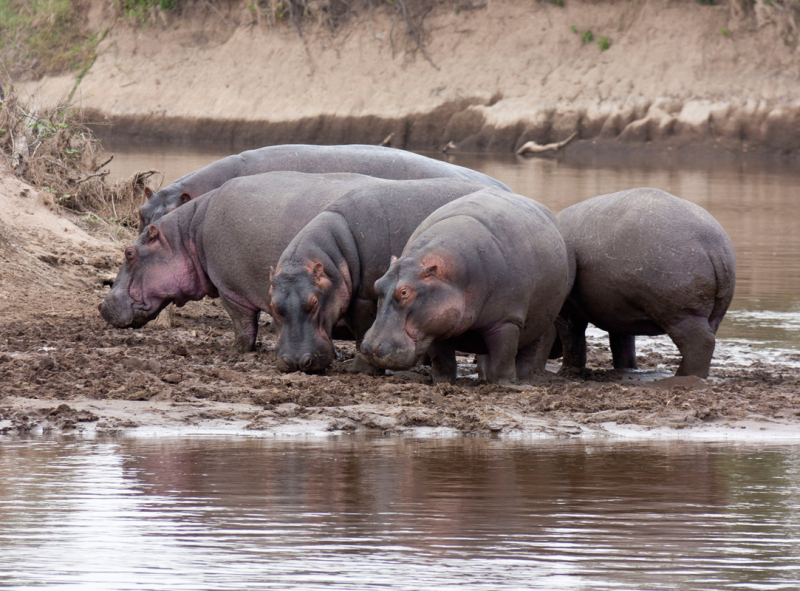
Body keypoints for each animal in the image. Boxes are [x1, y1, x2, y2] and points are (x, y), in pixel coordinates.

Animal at [270, 175, 494, 374]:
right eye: (273, 305)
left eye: (314, 302)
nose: (297, 362)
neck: (333, 258)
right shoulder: (350, 297)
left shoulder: (365, 298)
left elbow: (362, 332)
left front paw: (359, 370)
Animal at [360, 190, 572, 384]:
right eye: (377, 285)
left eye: (404, 292)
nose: (369, 349)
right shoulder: (436, 325)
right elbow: (442, 360)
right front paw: (442, 382)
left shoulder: (507, 320)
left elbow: (503, 358)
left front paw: (505, 385)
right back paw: (483, 379)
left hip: (539, 321)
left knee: (527, 353)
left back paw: (522, 380)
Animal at [556, 187, 736, 380]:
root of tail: (712, 245)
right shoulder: (617, 310)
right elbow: (622, 342)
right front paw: (627, 370)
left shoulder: (567, 310)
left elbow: (572, 338)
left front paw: (567, 372)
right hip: (713, 314)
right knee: (707, 340)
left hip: (682, 313)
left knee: (701, 343)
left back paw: (682, 376)